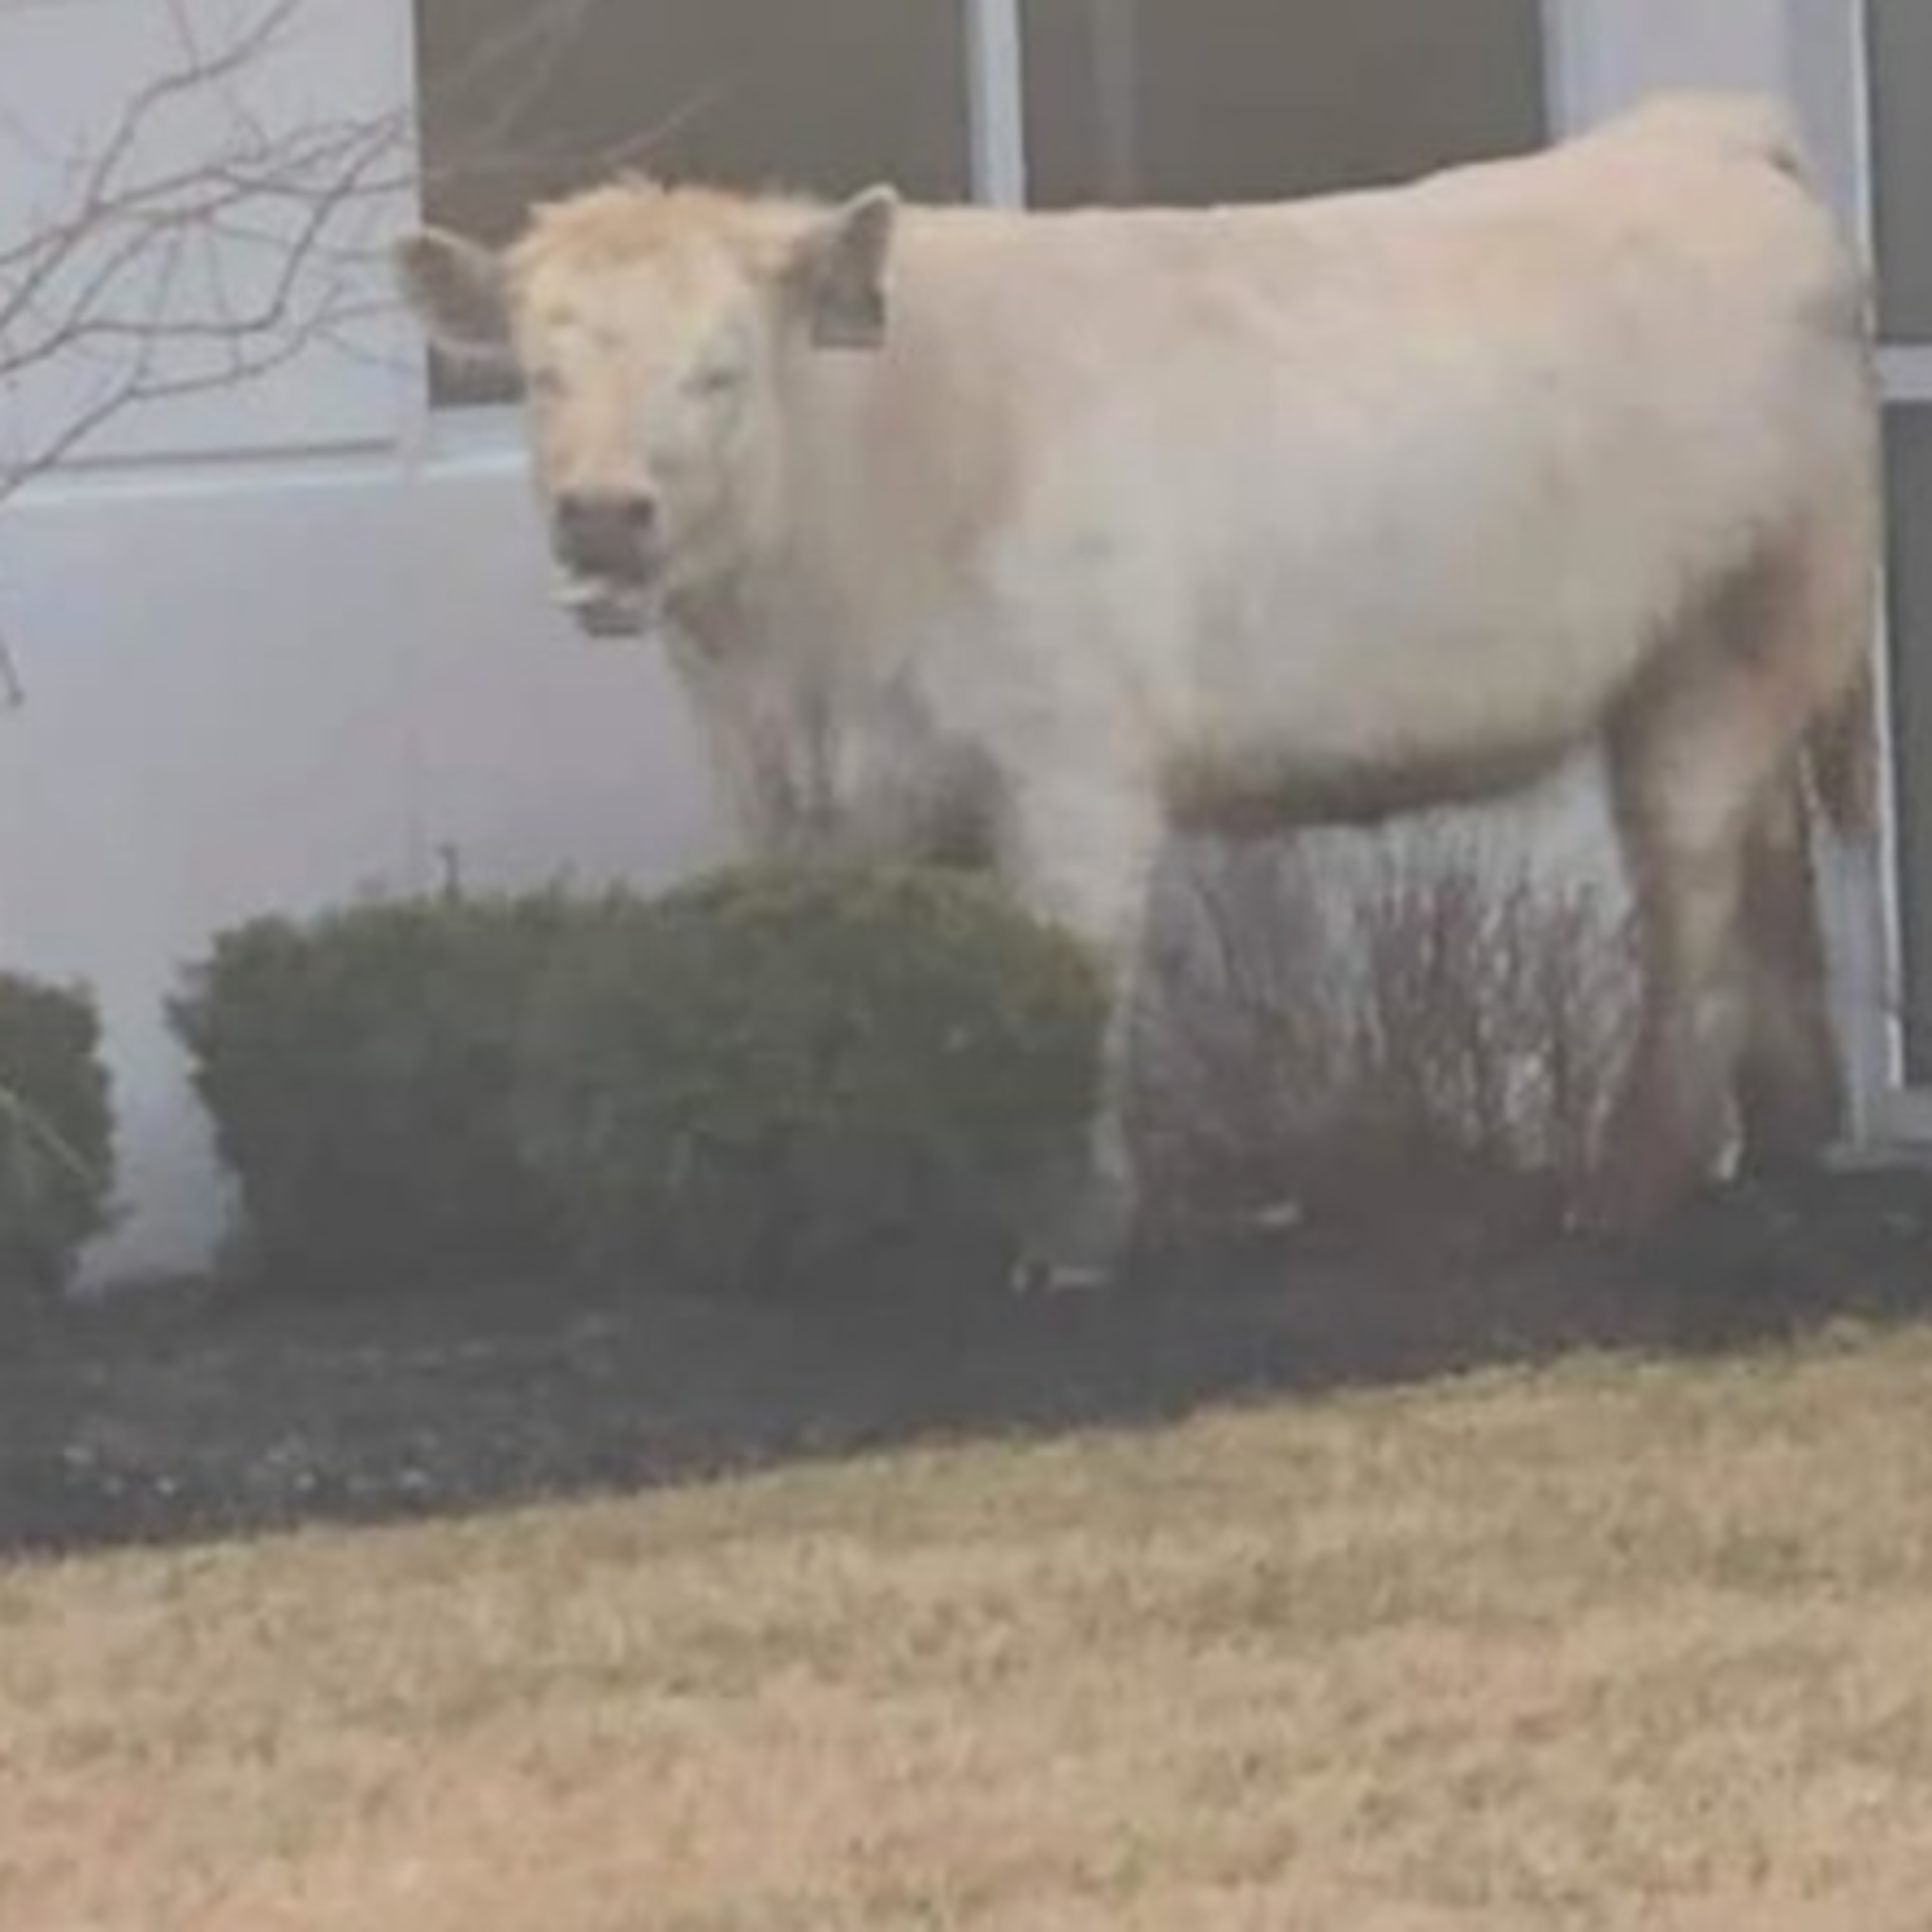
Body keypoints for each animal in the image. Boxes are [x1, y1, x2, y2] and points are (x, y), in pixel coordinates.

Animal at [393, 91, 1880, 1283]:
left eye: (720, 371)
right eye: (536, 374)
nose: (602, 518)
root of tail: (1699, 131)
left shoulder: (1072, 775)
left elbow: (1075, 987)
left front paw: (1072, 1242)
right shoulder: (787, 798)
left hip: (1728, 640)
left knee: (1691, 890)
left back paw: (1631, 1187)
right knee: (1763, 868)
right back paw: (1792, 1132)